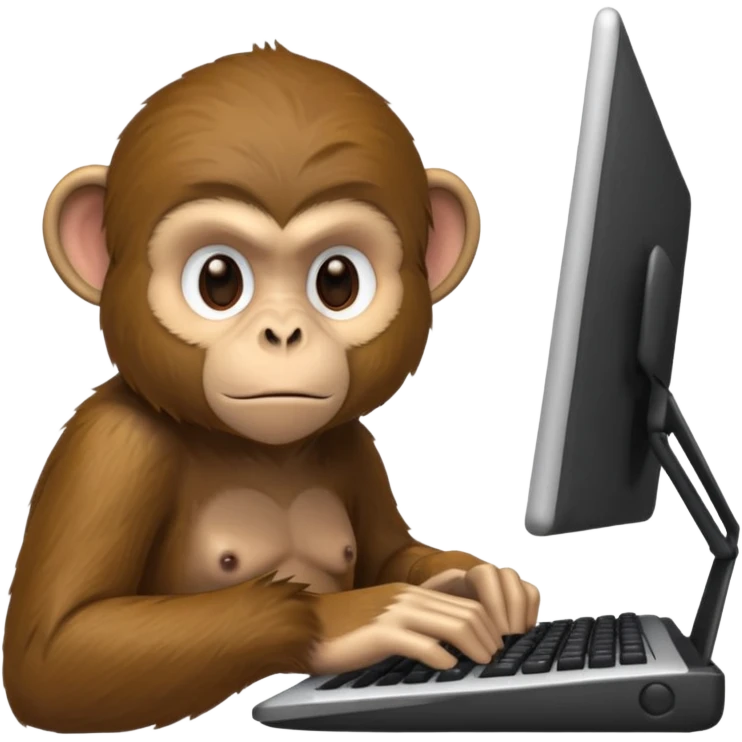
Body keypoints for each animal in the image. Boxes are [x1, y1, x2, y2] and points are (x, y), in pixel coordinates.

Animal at [3, 43, 541, 735]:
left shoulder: (351, 443)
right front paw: (362, 616)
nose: (283, 332)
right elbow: (56, 650)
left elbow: (391, 550)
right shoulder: (111, 449)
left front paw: (478, 582)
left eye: (337, 280)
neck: (256, 450)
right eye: (218, 279)